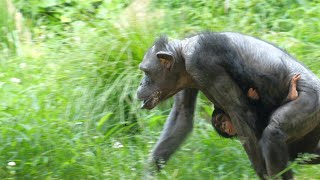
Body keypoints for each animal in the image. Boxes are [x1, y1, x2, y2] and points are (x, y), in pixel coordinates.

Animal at [136, 32, 320, 179]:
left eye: (146, 72)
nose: (140, 84)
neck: (183, 54)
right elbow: (181, 116)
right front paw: (148, 174)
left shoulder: (203, 63)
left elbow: (239, 112)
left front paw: (264, 174)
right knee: (304, 151)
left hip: (311, 100)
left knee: (274, 133)